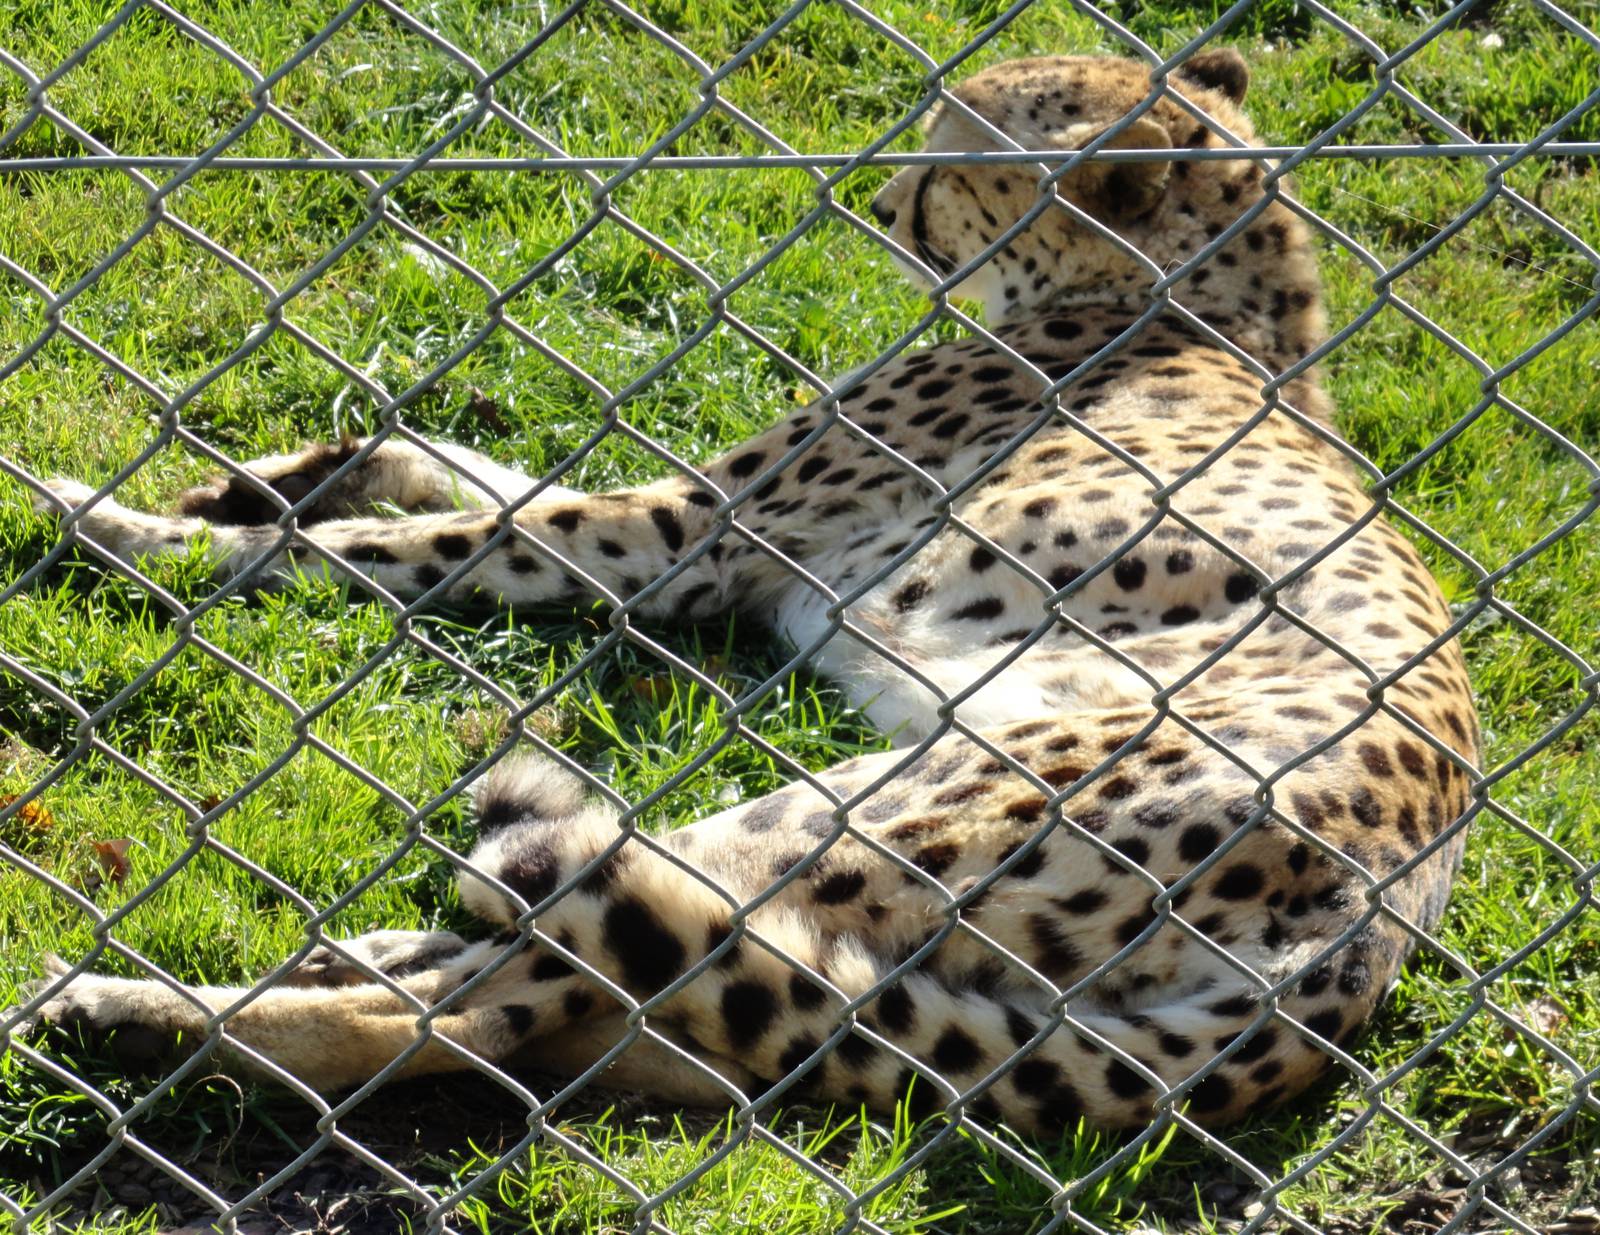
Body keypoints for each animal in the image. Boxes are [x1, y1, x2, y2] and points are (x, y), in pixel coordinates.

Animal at [21, 48, 1480, 1134]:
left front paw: (124, 529)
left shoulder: (694, 534)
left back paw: (135, 1009)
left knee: (545, 984)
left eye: (947, 163)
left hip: (896, 806)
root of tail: (1359, 945)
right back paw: (329, 959)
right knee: (601, 999)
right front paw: (255, 477)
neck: (1214, 307)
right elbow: (443, 464)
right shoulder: (704, 518)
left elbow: (425, 539)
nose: (879, 204)